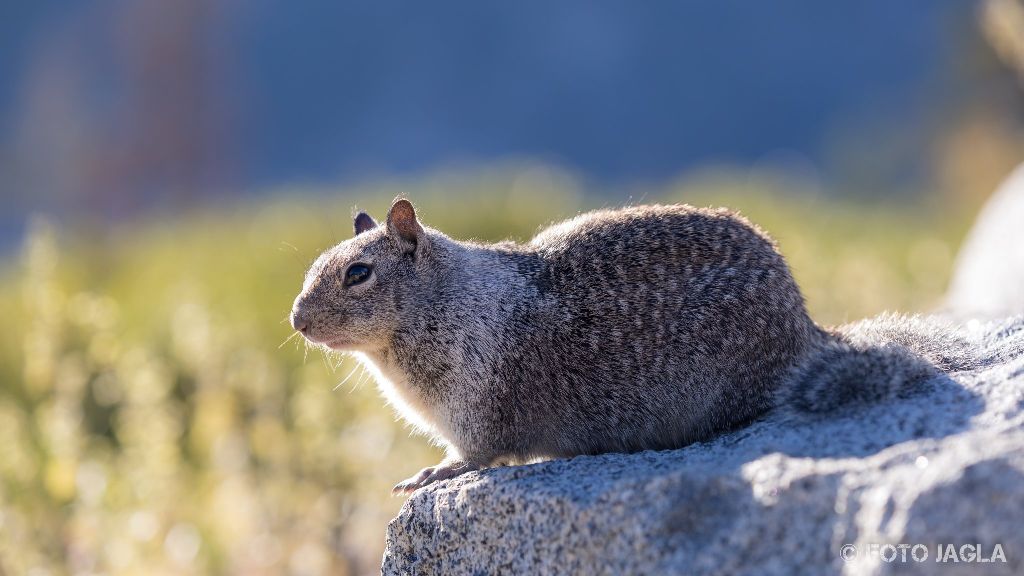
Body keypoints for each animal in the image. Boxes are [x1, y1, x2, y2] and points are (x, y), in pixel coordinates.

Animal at [290, 198, 966, 494]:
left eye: (358, 273)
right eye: (315, 265)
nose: (295, 320)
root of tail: (808, 331)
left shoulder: (477, 407)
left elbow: (478, 454)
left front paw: (435, 471)